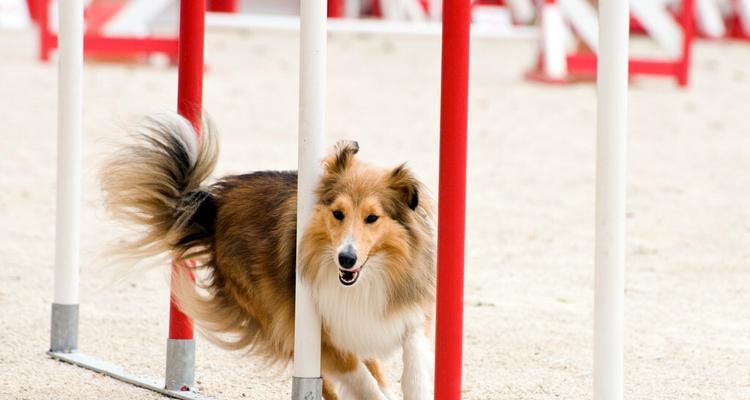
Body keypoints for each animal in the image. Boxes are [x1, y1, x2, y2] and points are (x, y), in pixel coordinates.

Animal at [103, 113, 438, 400]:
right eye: (337, 213)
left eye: (372, 218)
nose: (346, 259)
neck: (367, 278)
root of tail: (214, 206)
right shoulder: (318, 333)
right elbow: (360, 379)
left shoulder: (402, 311)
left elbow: (413, 354)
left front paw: (414, 388)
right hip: (273, 311)